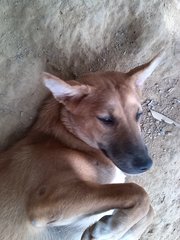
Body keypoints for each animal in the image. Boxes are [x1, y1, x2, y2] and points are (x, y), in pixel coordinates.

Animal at [0, 53, 163, 240]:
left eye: (138, 114)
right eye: (106, 119)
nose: (146, 165)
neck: (71, 143)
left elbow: (150, 211)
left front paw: (121, 231)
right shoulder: (50, 199)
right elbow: (137, 192)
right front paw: (110, 230)